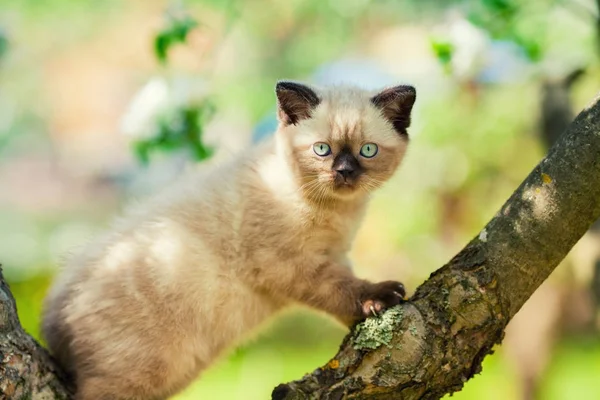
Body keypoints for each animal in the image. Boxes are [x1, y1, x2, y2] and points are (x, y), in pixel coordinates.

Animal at [41, 79, 418, 398]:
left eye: (367, 150)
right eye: (322, 149)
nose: (344, 172)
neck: (337, 211)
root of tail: (55, 310)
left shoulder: (334, 254)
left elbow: (344, 292)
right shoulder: (291, 265)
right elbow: (341, 290)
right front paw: (378, 297)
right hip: (141, 374)